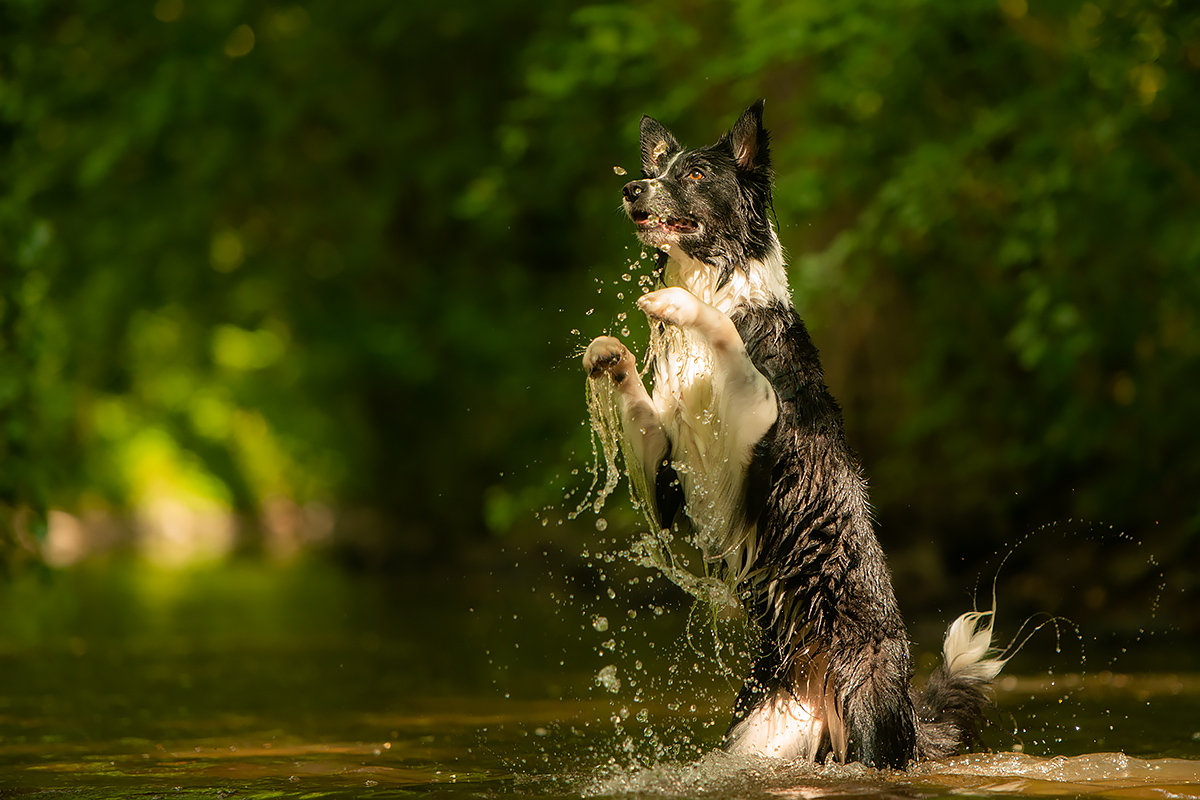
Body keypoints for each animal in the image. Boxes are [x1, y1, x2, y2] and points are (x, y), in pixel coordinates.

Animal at [580, 100, 1003, 767]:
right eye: (658, 169)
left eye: (696, 175)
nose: (631, 189)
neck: (716, 278)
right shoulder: (667, 473)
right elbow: (641, 406)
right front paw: (608, 352)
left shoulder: (759, 416)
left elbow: (726, 338)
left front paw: (678, 305)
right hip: (755, 738)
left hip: (867, 714)